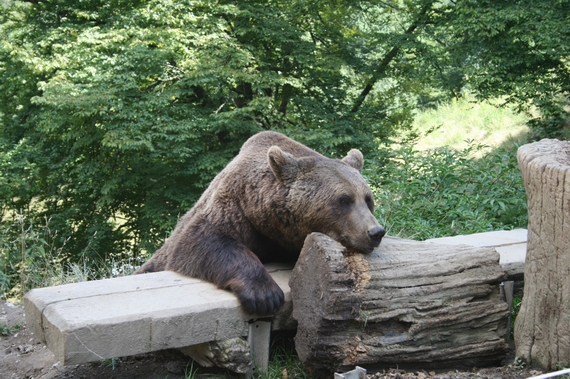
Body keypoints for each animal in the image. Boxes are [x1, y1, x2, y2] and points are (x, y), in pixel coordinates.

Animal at [135, 132, 384, 316]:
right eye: (344, 200)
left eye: (367, 199)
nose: (375, 232)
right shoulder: (235, 210)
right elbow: (205, 240)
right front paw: (265, 295)